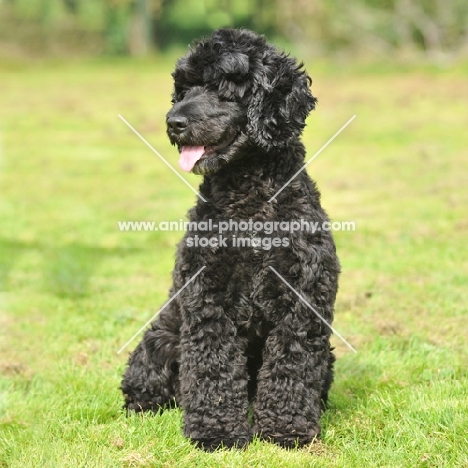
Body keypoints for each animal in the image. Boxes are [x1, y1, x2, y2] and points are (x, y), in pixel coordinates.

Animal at [121, 27, 340, 452]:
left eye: (223, 88)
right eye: (184, 88)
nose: (174, 122)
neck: (249, 204)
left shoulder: (303, 300)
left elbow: (291, 366)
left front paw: (286, 429)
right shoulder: (208, 299)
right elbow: (213, 369)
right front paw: (217, 432)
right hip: (161, 336)